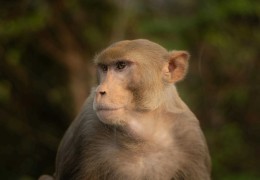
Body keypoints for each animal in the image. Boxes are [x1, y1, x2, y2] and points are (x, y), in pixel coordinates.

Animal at [40, 38, 211, 179]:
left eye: (121, 66)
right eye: (104, 68)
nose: (100, 91)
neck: (143, 134)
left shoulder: (191, 138)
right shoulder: (86, 127)